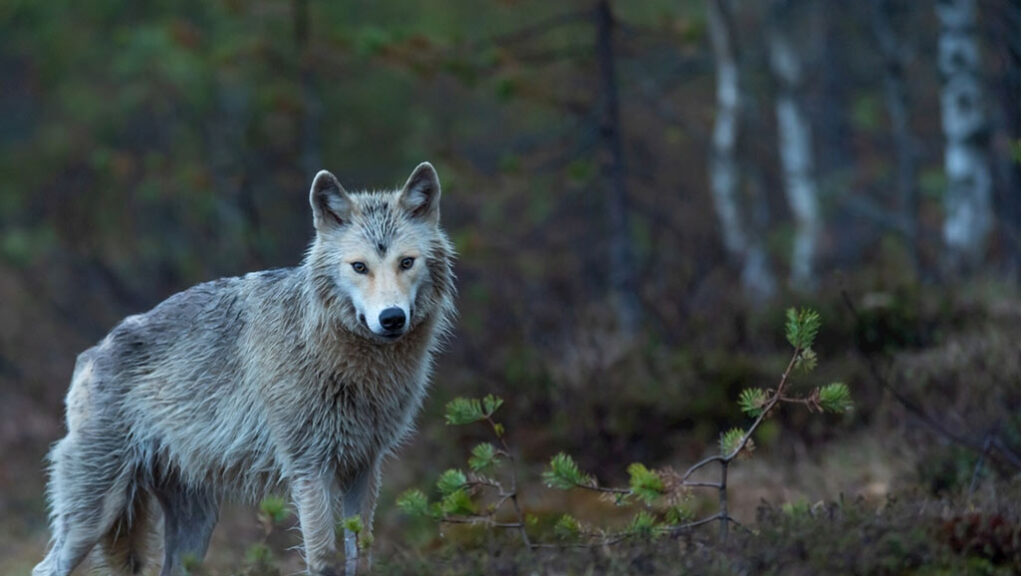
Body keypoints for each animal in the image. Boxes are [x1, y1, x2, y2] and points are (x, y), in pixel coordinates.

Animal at [32, 162, 457, 576]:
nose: (391, 318)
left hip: (196, 525)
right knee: (45, 567)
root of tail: (91, 353)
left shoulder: (364, 467)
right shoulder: (309, 468)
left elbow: (362, 555)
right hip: (93, 517)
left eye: (406, 262)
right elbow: (323, 559)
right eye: (359, 267)